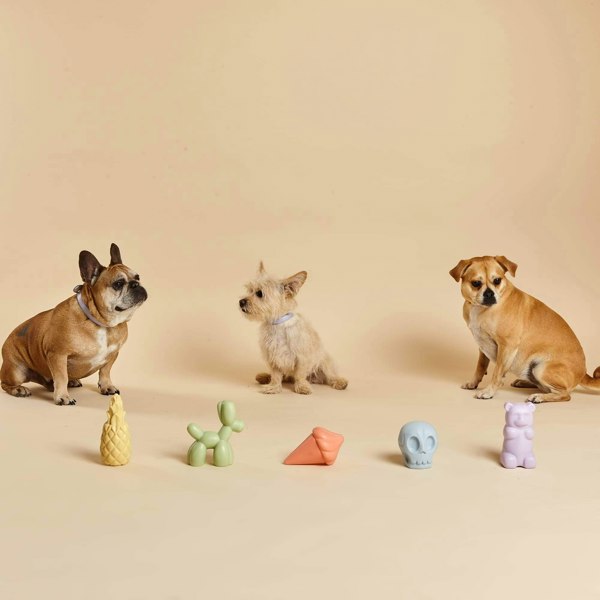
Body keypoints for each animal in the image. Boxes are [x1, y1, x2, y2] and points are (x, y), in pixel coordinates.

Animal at [0, 241, 148, 406]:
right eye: (118, 283)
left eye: (138, 277)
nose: (136, 284)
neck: (102, 324)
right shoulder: (57, 354)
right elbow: (61, 376)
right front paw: (62, 397)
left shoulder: (113, 353)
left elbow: (105, 371)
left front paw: (107, 386)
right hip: (16, 370)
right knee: (5, 384)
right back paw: (18, 389)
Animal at [238, 262, 346, 394]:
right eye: (250, 290)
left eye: (259, 293)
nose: (241, 302)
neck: (277, 324)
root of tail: (314, 379)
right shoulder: (273, 356)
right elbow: (276, 375)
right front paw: (274, 387)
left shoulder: (302, 357)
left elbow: (299, 375)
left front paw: (302, 387)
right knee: (284, 377)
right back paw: (265, 377)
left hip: (325, 361)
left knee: (329, 375)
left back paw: (340, 382)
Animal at [448, 256, 600, 404]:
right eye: (476, 283)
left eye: (497, 280)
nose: (489, 294)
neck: (482, 309)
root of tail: (583, 373)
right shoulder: (482, 347)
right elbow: (480, 367)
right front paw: (473, 383)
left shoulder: (507, 346)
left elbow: (497, 372)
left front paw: (489, 391)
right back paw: (524, 382)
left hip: (540, 368)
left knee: (565, 395)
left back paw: (539, 397)